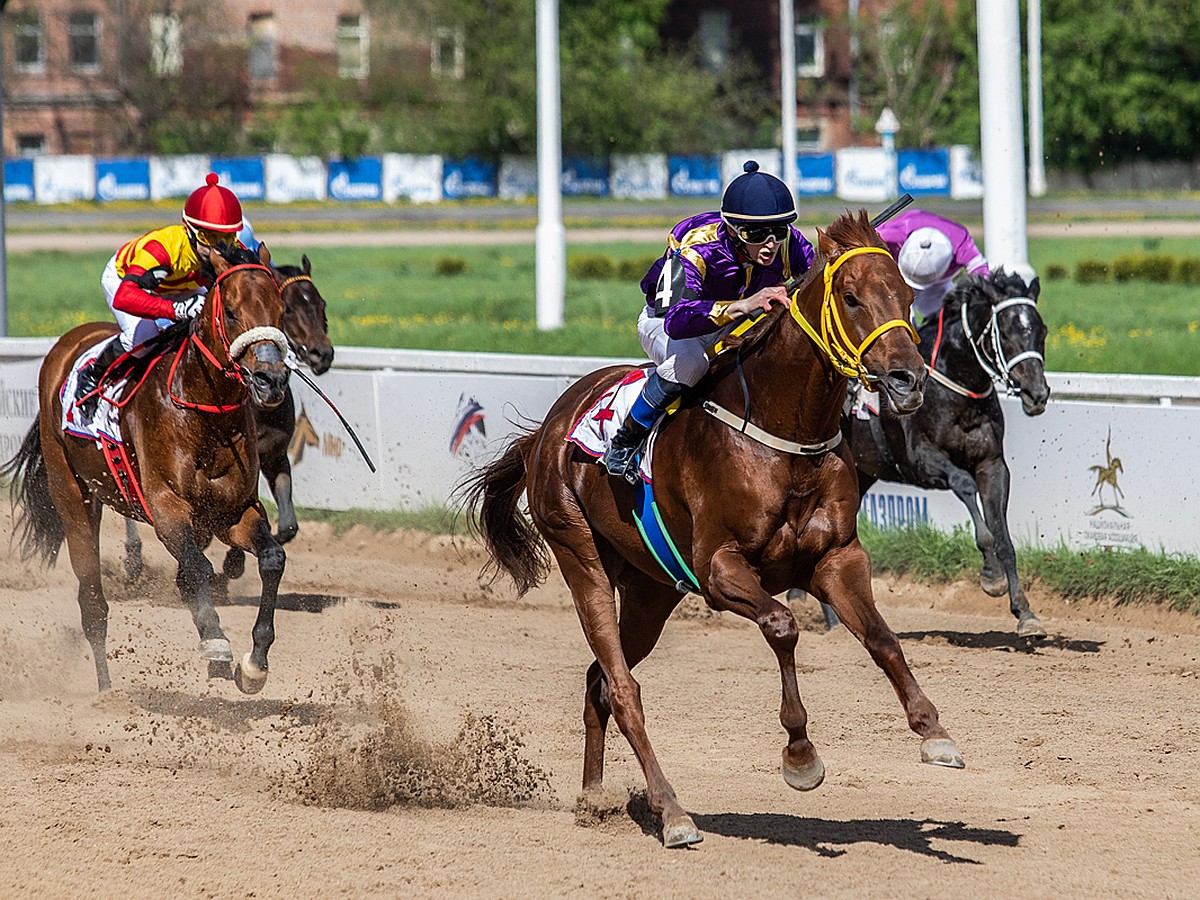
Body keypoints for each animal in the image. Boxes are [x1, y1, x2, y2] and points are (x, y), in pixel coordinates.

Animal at [4, 243, 292, 696]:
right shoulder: (166, 507)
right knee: (93, 603)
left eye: (280, 310)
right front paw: (216, 642)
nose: (271, 380)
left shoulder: (232, 512)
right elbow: (197, 567)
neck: (204, 413)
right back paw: (106, 691)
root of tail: (67, 343)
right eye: (230, 311)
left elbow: (272, 558)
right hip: (72, 494)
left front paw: (254, 662)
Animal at [122, 252, 336, 585]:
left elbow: (286, 525)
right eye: (289, 308)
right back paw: (134, 559)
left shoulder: (274, 455)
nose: (321, 354)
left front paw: (235, 559)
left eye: (321, 304)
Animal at [463, 213, 969, 854]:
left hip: (651, 591)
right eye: (852, 298)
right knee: (623, 690)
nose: (907, 381)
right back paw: (673, 813)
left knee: (599, 681)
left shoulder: (836, 558)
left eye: (906, 295)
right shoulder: (718, 568)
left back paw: (595, 798)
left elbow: (883, 639)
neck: (784, 434)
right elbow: (782, 626)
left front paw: (935, 732)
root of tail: (546, 432)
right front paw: (800, 756)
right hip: (582, 557)